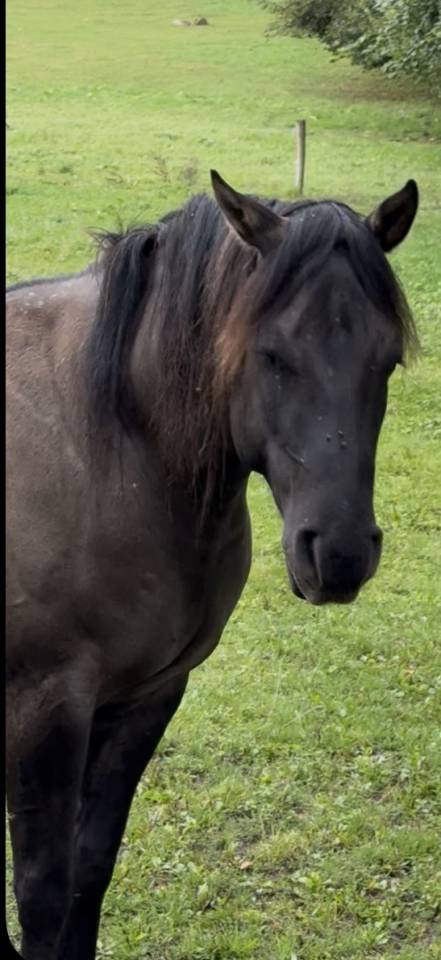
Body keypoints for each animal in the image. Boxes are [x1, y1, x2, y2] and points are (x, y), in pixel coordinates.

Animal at [6, 169, 419, 960]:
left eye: (387, 361)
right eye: (271, 355)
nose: (340, 554)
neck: (113, 448)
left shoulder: (146, 698)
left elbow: (88, 874)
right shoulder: (45, 711)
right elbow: (42, 897)